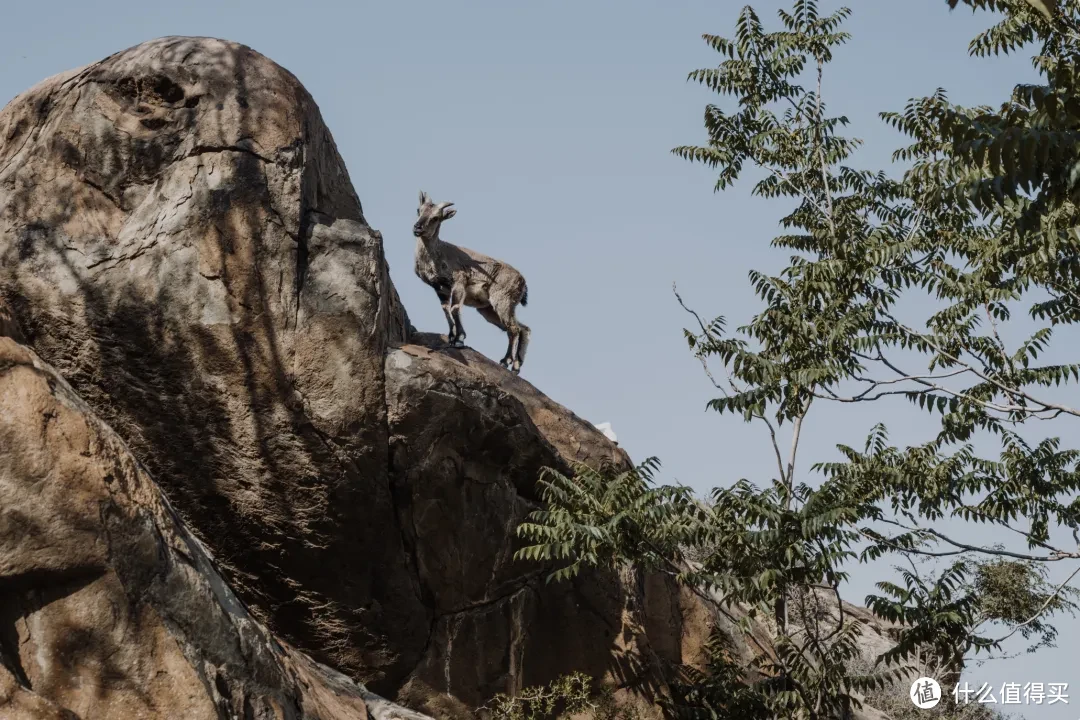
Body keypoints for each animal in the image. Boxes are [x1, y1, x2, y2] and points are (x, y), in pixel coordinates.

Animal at [412, 191, 531, 371]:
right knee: (523, 328)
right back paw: (516, 365)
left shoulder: (459, 282)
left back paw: (505, 361)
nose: (417, 228)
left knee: (514, 329)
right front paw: (451, 337)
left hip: (502, 301)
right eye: (419, 210)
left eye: (435, 218)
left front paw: (459, 339)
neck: (437, 254)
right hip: (488, 310)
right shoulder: (440, 288)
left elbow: (454, 308)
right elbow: (445, 310)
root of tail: (523, 283)